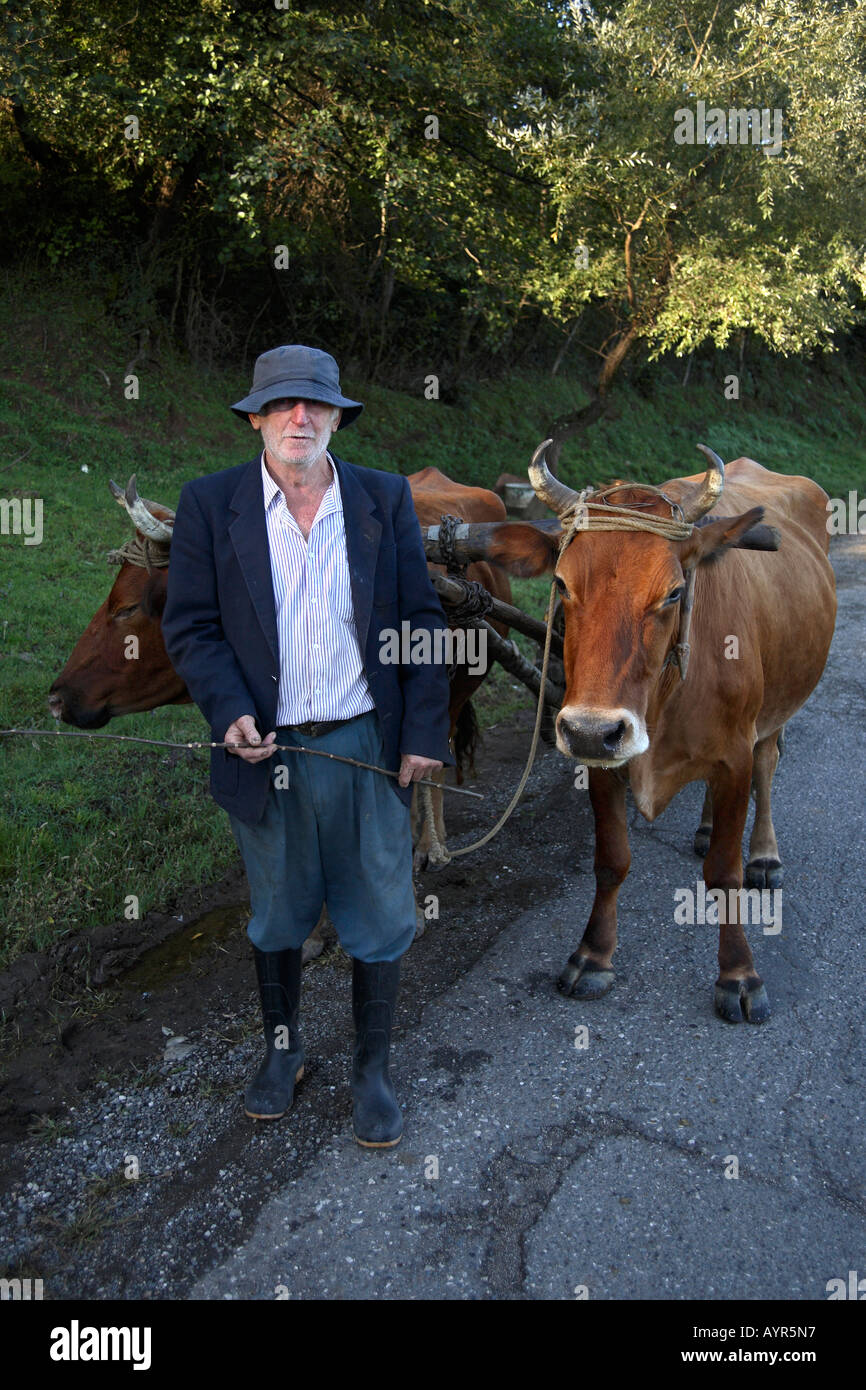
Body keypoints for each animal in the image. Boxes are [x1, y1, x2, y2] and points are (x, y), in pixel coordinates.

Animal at [489, 442, 834, 1023]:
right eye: (561, 584)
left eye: (674, 593)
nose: (591, 729)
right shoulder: (602, 753)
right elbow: (611, 860)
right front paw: (593, 955)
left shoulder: (734, 756)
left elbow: (725, 871)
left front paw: (739, 974)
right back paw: (705, 827)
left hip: (774, 711)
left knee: (767, 768)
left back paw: (764, 854)